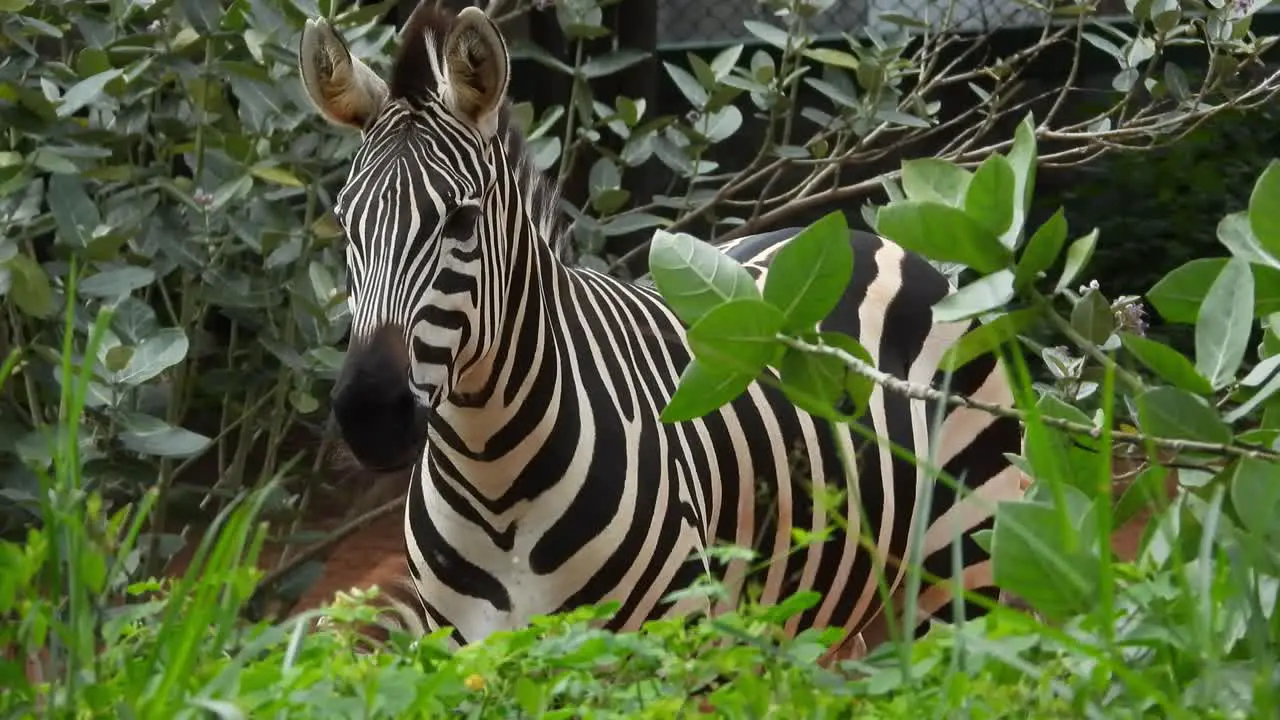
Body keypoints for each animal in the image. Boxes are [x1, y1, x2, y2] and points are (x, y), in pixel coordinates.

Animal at [294, 1, 1024, 655]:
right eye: (345, 223)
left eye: (462, 221)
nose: (369, 414)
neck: (492, 481)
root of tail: (864, 237)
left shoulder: (653, 648)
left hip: (966, 572)